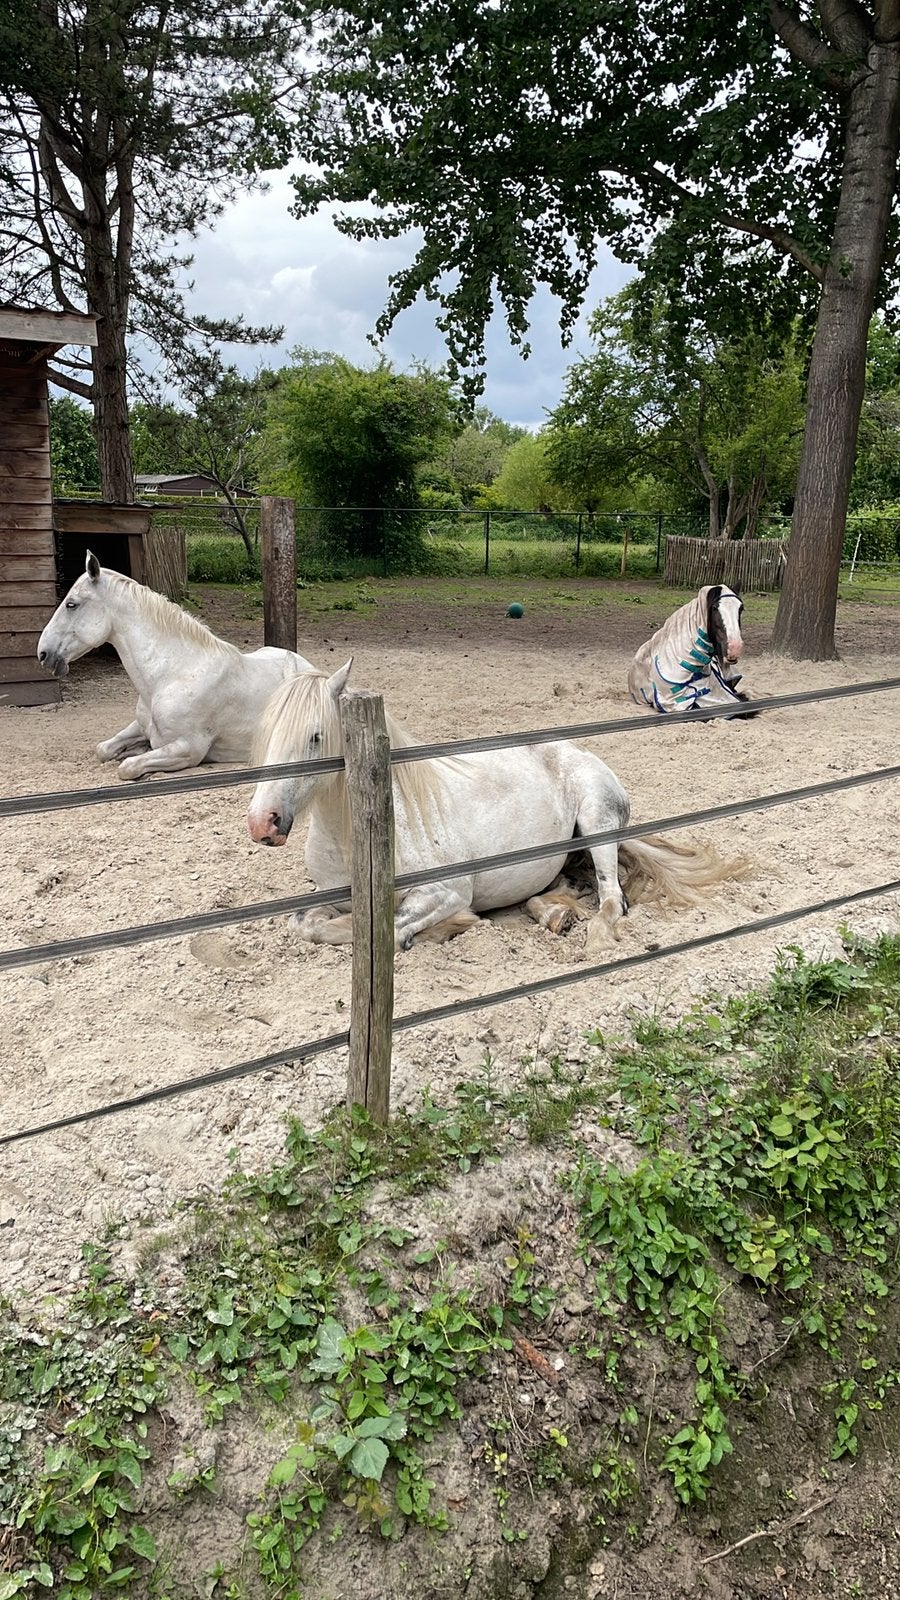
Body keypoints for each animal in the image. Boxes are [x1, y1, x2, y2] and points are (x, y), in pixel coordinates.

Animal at [37, 551, 317, 779]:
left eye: (72, 604)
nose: (43, 653)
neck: (171, 676)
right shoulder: (140, 727)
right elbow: (103, 749)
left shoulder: (188, 749)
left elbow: (128, 767)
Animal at [246, 661, 747, 954]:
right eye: (265, 734)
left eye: (316, 736)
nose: (262, 823)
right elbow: (307, 924)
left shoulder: (445, 892)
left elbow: (381, 929)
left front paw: (446, 928)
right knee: (561, 888)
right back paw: (555, 914)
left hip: (598, 825)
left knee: (610, 900)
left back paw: (592, 933)